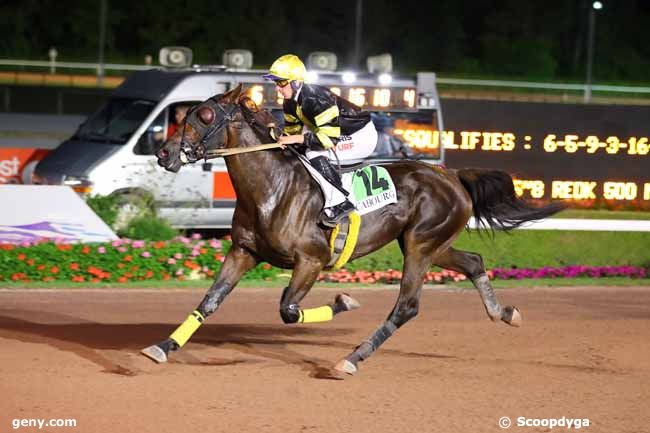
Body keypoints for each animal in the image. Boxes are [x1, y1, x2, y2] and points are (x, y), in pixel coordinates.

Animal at [142, 85, 560, 374]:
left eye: (204, 116)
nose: (164, 153)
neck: (272, 189)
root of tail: (451, 175)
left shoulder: (311, 260)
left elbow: (288, 310)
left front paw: (345, 301)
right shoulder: (244, 251)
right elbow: (209, 302)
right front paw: (162, 347)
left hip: (422, 245)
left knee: (406, 307)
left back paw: (353, 359)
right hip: (429, 244)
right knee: (473, 262)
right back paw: (504, 313)